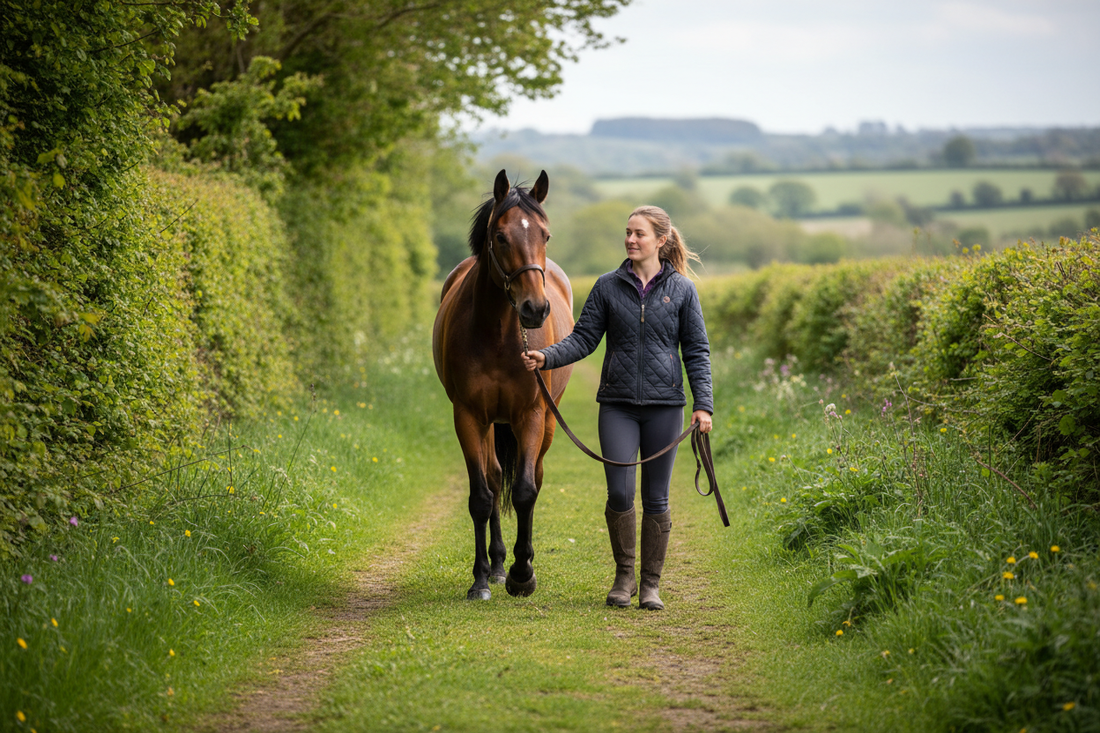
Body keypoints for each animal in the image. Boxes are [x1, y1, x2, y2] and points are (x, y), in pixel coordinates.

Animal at [432, 169, 574, 600]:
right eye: (500, 236)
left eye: (545, 234)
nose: (535, 309)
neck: (498, 333)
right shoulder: (469, 416)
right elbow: (482, 496)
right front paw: (481, 578)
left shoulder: (530, 414)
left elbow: (526, 490)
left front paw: (522, 574)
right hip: (492, 424)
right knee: (495, 479)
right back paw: (495, 565)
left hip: (545, 421)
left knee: (535, 477)